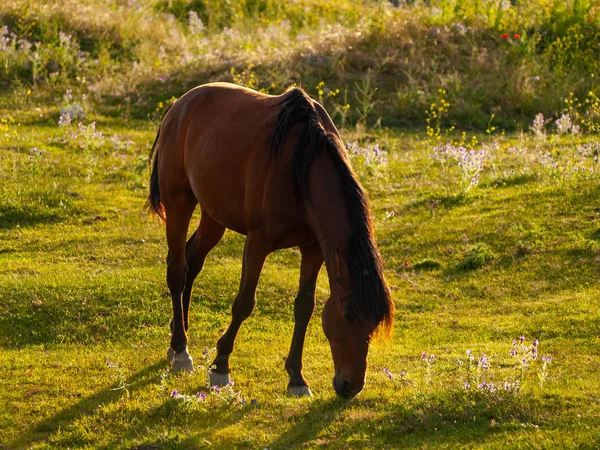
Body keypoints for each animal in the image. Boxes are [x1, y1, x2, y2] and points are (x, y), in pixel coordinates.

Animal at [146, 81, 394, 398]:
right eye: (348, 314)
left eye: (374, 322)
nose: (350, 386)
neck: (301, 169)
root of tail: (180, 105)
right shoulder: (257, 244)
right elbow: (243, 303)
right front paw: (221, 366)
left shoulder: (313, 249)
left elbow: (304, 307)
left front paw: (297, 377)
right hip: (179, 202)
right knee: (177, 270)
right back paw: (180, 349)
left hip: (214, 217)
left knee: (192, 261)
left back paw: (180, 332)